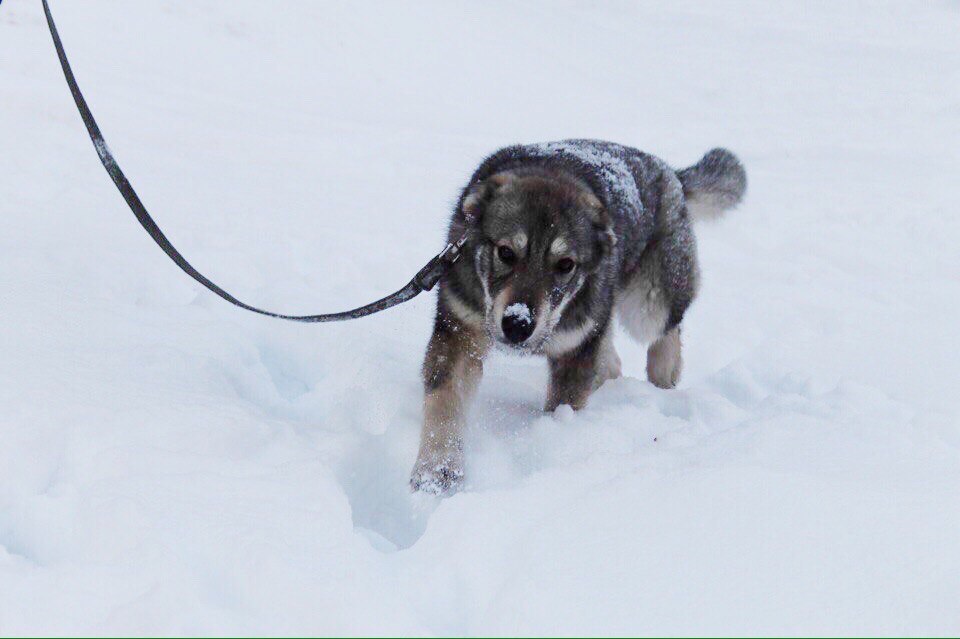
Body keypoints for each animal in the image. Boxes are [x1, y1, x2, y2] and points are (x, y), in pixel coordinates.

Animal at [408, 140, 748, 496]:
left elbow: (563, 404)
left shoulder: (575, 348)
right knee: (612, 360)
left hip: (648, 304)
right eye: (505, 252)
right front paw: (437, 469)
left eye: (566, 264)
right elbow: (446, 401)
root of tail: (671, 173)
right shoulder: (460, 332)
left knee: (667, 327)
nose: (517, 325)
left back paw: (663, 374)